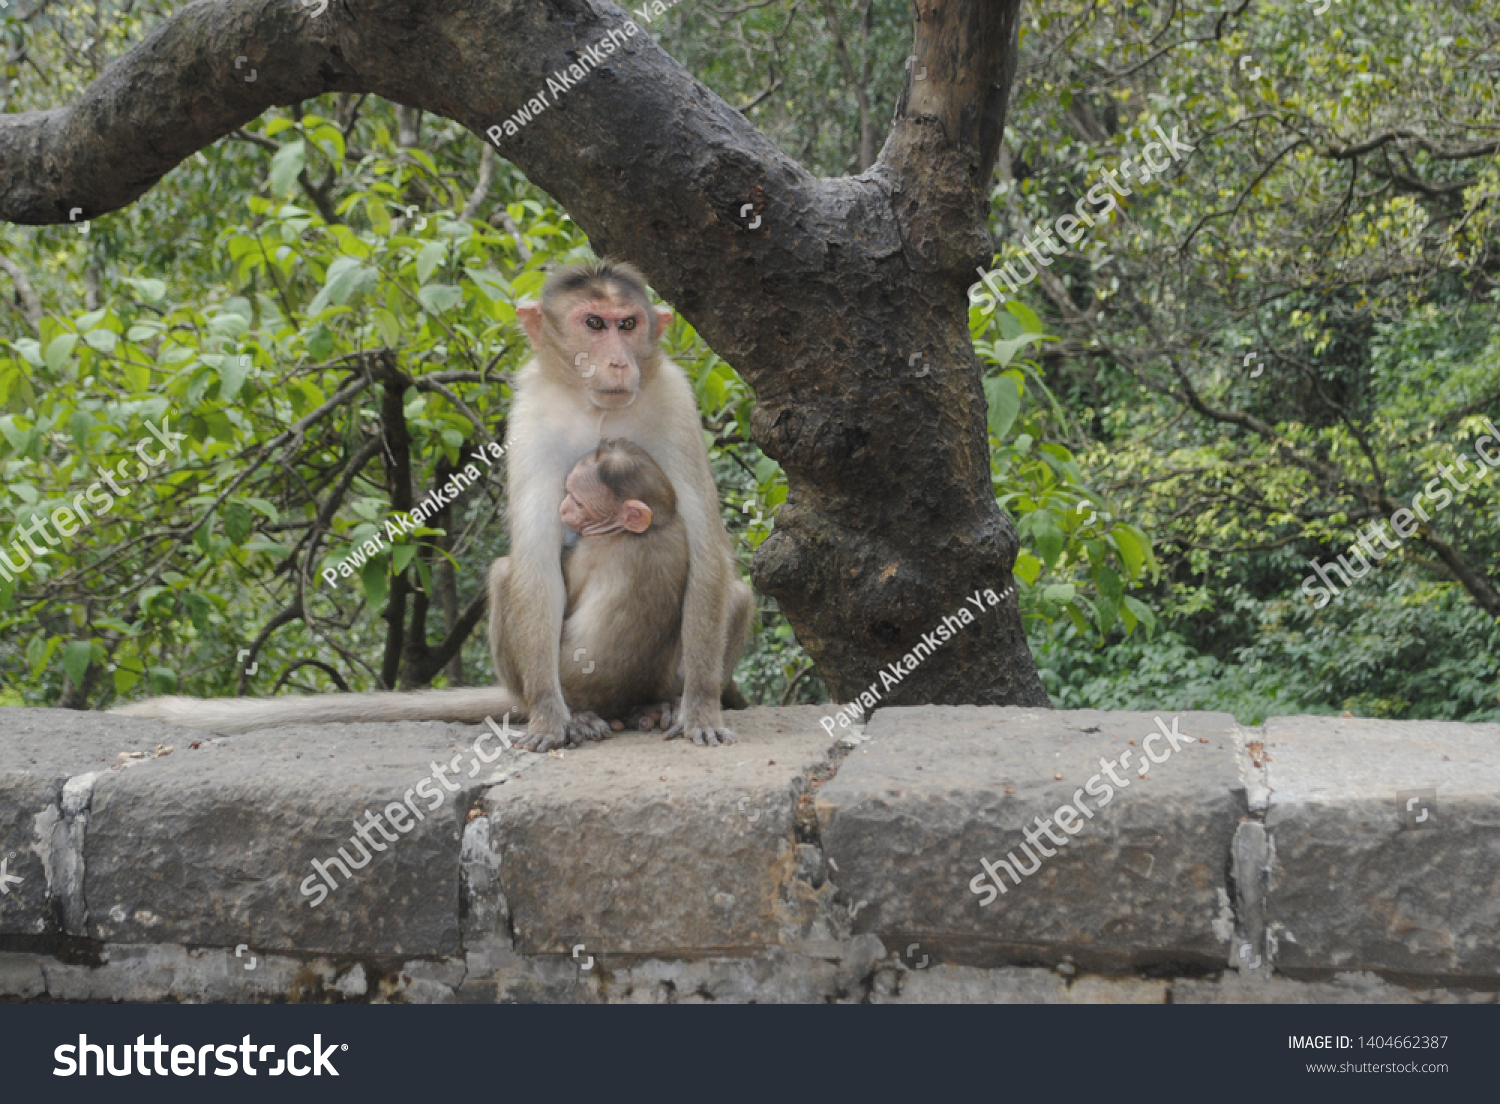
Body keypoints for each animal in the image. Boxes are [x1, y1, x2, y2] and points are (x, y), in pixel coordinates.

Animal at [108, 265, 750, 750]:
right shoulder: (530, 414)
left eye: (628, 324)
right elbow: (534, 564)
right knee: (507, 574)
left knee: (734, 590)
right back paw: (575, 710)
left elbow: (707, 548)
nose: (619, 361)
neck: (598, 407)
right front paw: (551, 714)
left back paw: (658, 703)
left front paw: (698, 707)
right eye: (593, 324)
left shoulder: (673, 399)